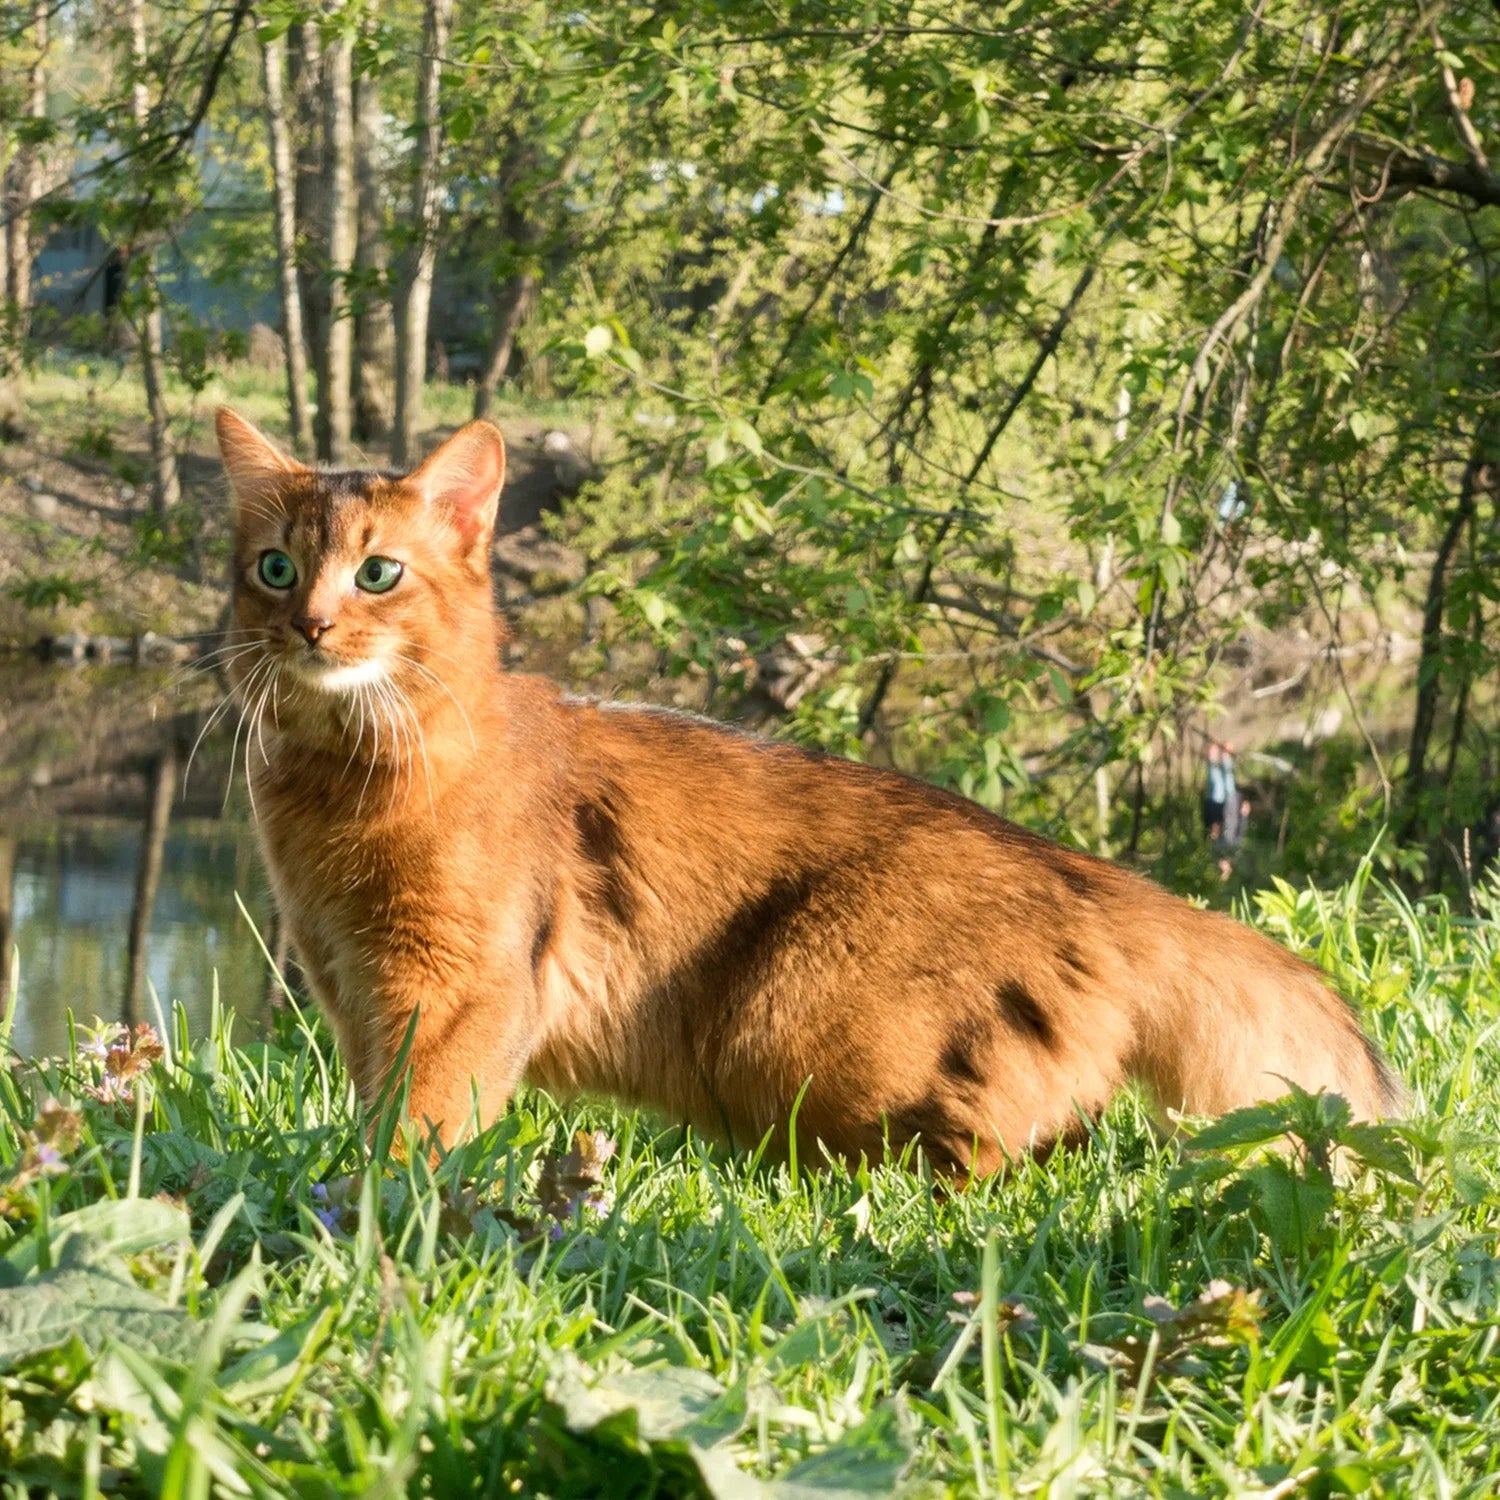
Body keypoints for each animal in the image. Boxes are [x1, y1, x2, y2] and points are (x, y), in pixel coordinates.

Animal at [217, 408, 1398, 1170]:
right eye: (275, 569)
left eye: (379, 573)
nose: (309, 626)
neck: (338, 786)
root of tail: (1092, 877)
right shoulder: (355, 993)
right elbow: (377, 1113)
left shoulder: (462, 988)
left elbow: (416, 1137)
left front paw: (378, 1211)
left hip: (788, 1024)